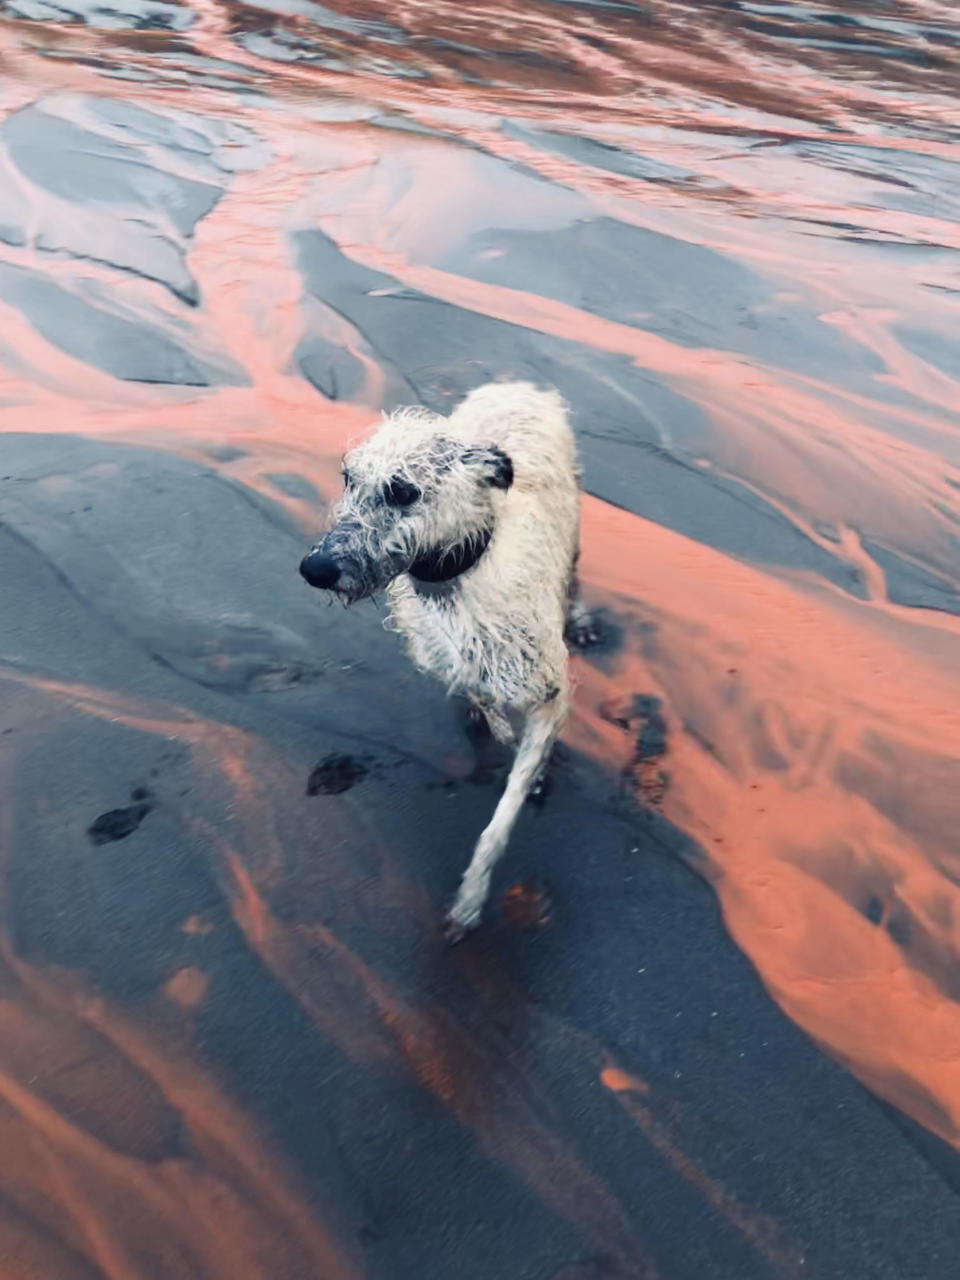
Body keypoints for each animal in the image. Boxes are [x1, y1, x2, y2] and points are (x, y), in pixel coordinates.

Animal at [300, 378, 593, 942]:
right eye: (348, 478)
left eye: (402, 490)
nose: (314, 569)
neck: (462, 578)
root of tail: (518, 385)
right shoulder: (451, 661)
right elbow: (478, 693)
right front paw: (502, 731)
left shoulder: (551, 691)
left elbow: (502, 816)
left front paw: (471, 897)